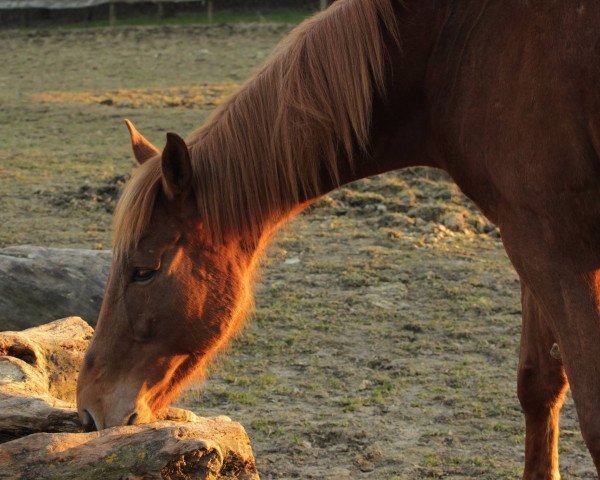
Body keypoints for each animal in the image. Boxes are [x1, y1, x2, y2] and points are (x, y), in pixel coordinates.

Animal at [77, 1, 600, 478]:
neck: (453, 50)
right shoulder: (528, 243)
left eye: (144, 270)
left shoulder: (553, 249)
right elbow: (539, 384)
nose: (88, 409)